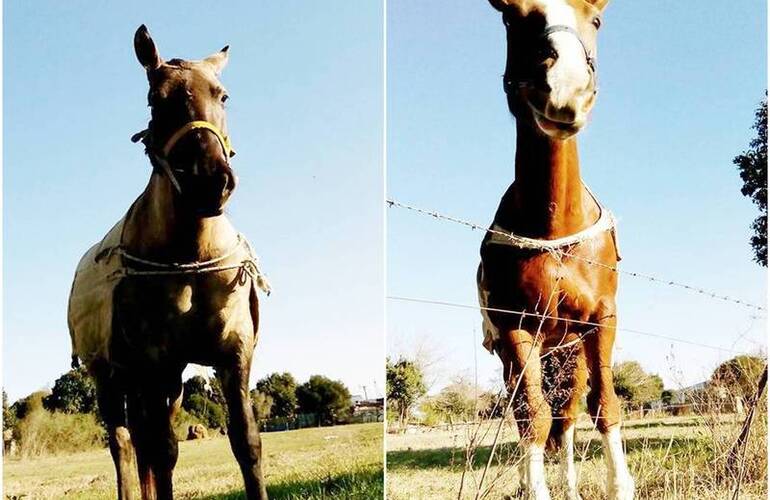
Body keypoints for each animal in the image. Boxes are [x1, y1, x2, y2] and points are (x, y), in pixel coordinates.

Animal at [67, 25, 270, 498]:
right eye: (155, 100)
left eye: (222, 95)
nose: (208, 179)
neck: (190, 260)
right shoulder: (152, 362)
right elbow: (162, 454)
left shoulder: (233, 355)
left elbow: (245, 442)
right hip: (109, 377)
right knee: (125, 444)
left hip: (168, 384)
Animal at [476, 0, 632, 500]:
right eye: (512, 16)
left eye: (596, 19)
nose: (565, 89)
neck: (555, 228)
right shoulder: (515, 328)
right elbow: (532, 417)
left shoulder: (601, 319)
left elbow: (604, 406)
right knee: (533, 414)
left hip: (569, 352)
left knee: (567, 417)